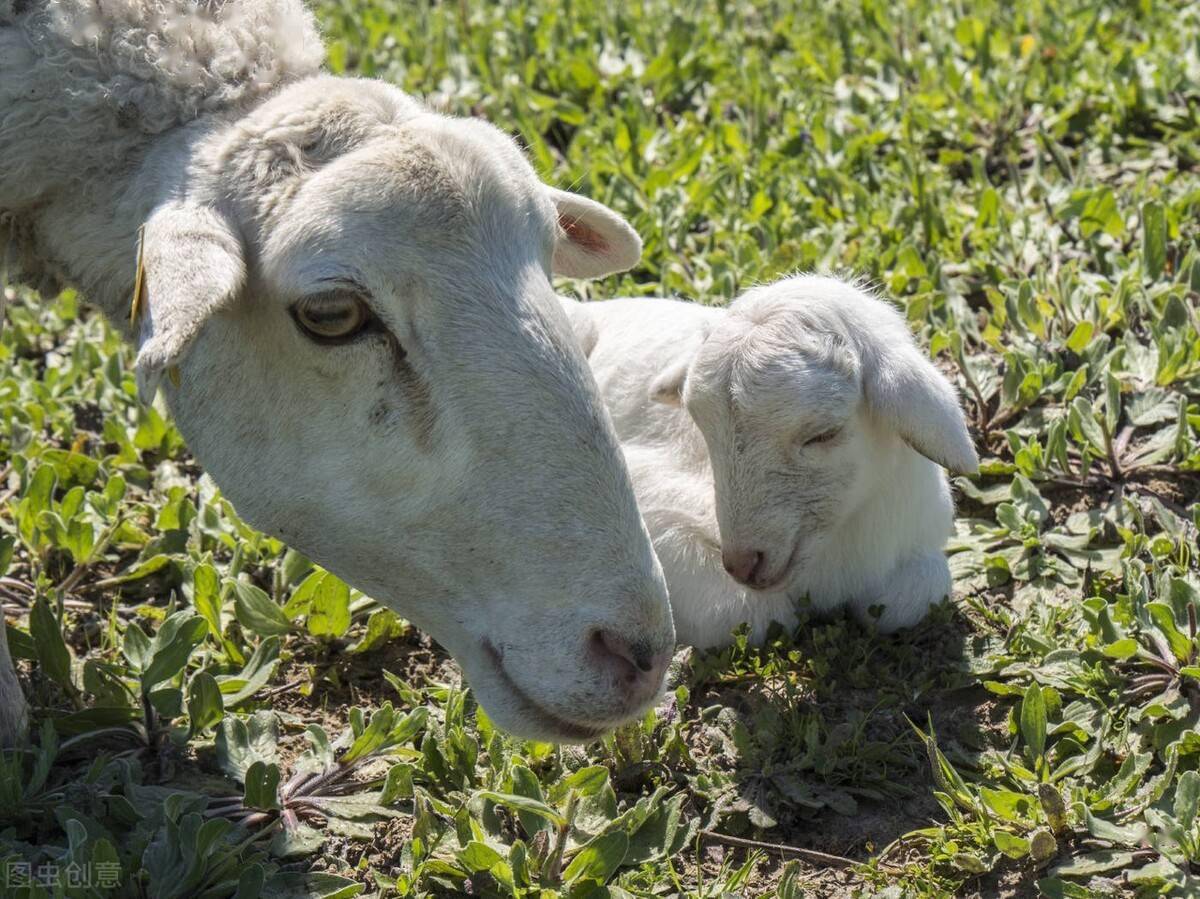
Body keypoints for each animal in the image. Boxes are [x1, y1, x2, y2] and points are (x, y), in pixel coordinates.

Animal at [556, 277, 979, 648]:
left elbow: (913, 595)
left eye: (824, 433)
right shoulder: (647, 495)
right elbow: (754, 615)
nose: (742, 563)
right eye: (703, 429)